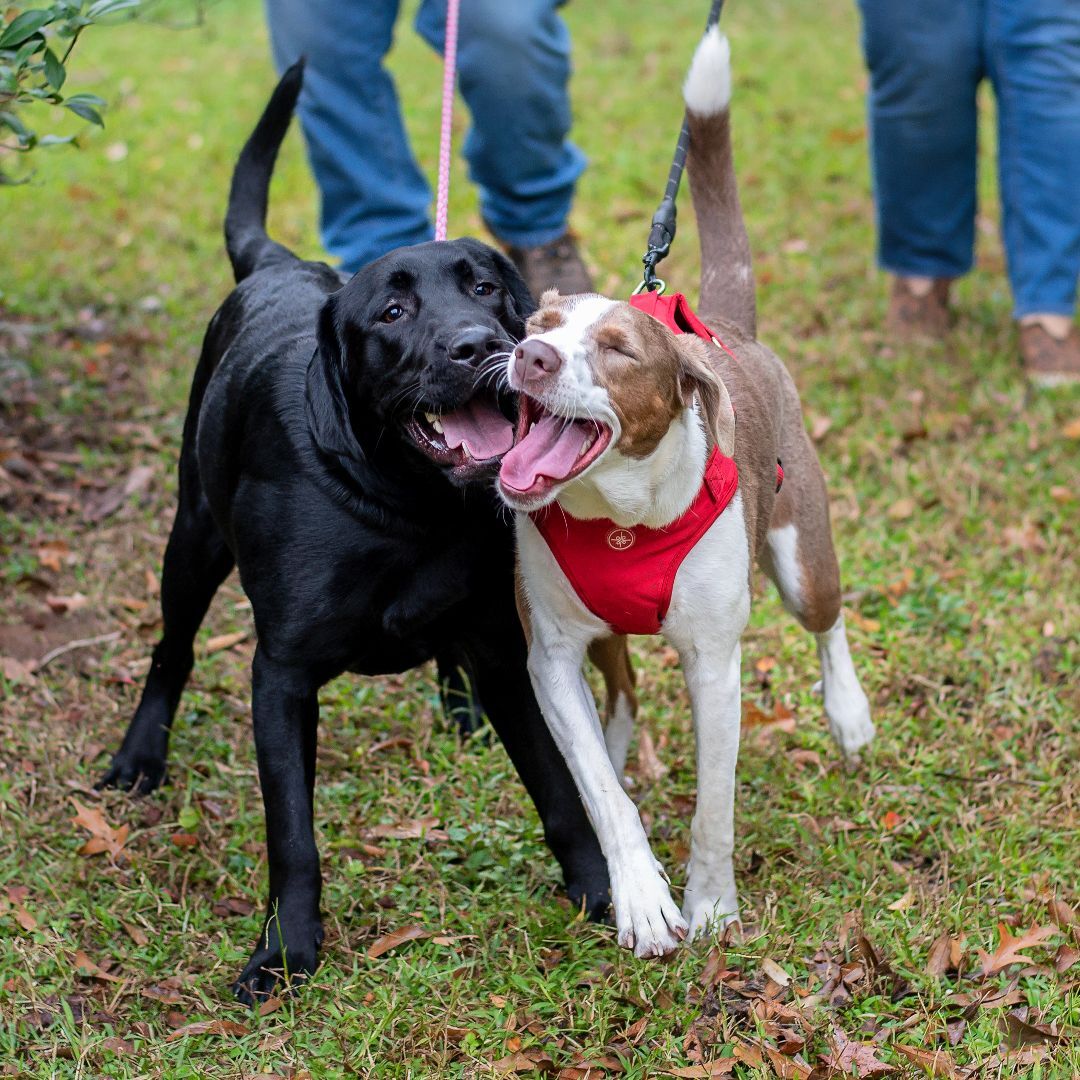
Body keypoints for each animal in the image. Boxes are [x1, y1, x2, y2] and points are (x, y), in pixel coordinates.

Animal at [99, 63, 609, 997]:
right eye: (392, 315)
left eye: (484, 287)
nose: (476, 345)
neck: (406, 506)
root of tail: (278, 263)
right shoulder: (281, 677)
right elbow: (293, 839)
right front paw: (285, 953)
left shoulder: (504, 646)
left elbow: (560, 791)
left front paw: (600, 891)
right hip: (191, 540)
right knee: (171, 648)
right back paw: (141, 756)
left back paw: (458, 705)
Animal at [494, 27, 872, 954]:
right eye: (537, 326)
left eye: (620, 350)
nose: (532, 357)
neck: (620, 514)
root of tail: (727, 328)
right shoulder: (549, 651)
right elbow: (599, 792)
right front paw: (641, 896)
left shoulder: (715, 662)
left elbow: (714, 807)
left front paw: (711, 906)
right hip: (599, 635)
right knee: (620, 687)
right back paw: (617, 739)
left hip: (801, 554)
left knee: (827, 617)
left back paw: (848, 712)